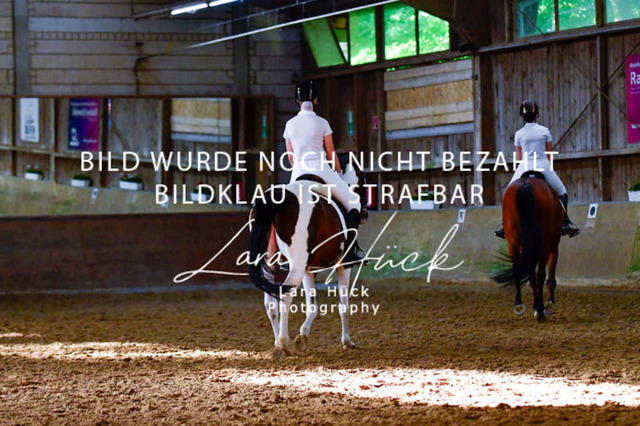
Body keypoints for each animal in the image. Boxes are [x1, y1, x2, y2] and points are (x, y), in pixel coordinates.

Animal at [248, 163, 367, 359]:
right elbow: (344, 305)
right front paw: (347, 341)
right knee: (286, 295)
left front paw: (303, 336)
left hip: (270, 262)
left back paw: (278, 343)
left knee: (270, 302)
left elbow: (312, 305)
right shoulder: (344, 266)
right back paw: (282, 343)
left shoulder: (308, 269)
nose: (365, 214)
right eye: (364, 182)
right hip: (296, 265)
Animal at [492, 171, 563, 322]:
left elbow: (530, 275)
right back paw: (541, 312)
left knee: (519, 270)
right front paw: (549, 305)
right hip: (544, 244)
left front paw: (536, 306)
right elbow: (549, 275)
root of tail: (525, 185)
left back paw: (519, 305)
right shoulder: (554, 244)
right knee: (541, 274)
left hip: (513, 242)